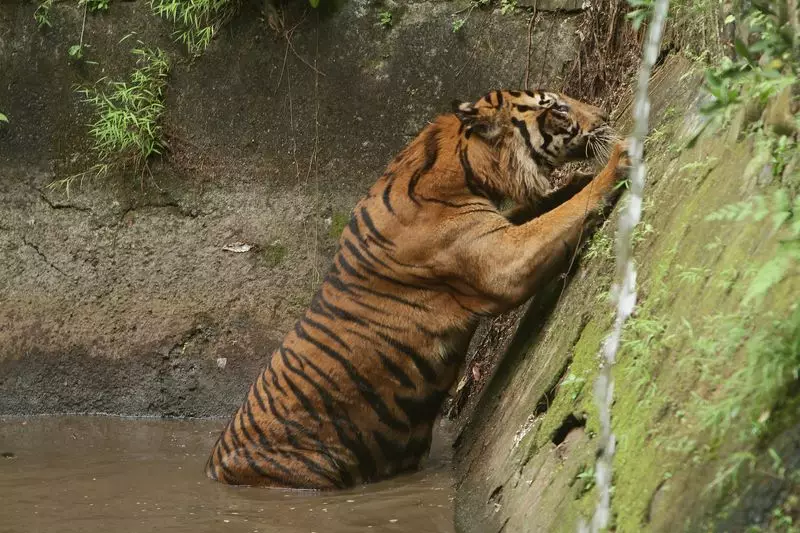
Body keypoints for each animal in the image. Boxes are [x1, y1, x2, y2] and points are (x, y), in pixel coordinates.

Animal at [206, 89, 627, 489]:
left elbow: (550, 207)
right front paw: (619, 157)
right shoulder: (502, 263)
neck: (467, 170)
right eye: (556, 107)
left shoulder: (499, 229)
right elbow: (561, 216)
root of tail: (215, 468)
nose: (606, 115)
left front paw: (578, 179)